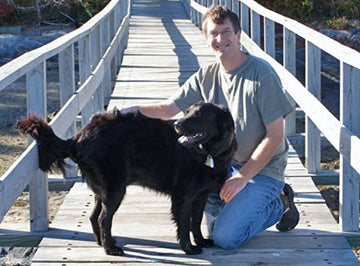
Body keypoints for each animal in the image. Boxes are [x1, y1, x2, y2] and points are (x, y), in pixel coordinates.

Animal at [15, 102, 238, 256]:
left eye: (199, 115)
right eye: (187, 112)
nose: (177, 124)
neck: (207, 153)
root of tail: (79, 137)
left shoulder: (201, 194)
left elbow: (196, 220)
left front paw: (200, 241)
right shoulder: (183, 196)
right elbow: (184, 223)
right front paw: (188, 248)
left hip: (104, 190)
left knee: (94, 216)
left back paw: (103, 243)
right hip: (115, 189)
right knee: (104, 218)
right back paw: (110, 249)